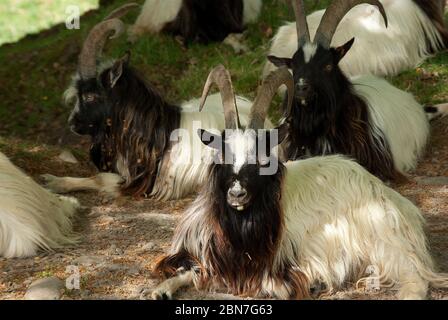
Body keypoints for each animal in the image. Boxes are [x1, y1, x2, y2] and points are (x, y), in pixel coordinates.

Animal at [151, 65, 448, 300]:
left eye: (263, 160)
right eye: (222, 155)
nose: (237, 194)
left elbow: (275, 284)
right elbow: (188, 269)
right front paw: (159, 290)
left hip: (381, 237)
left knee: (414, 276)